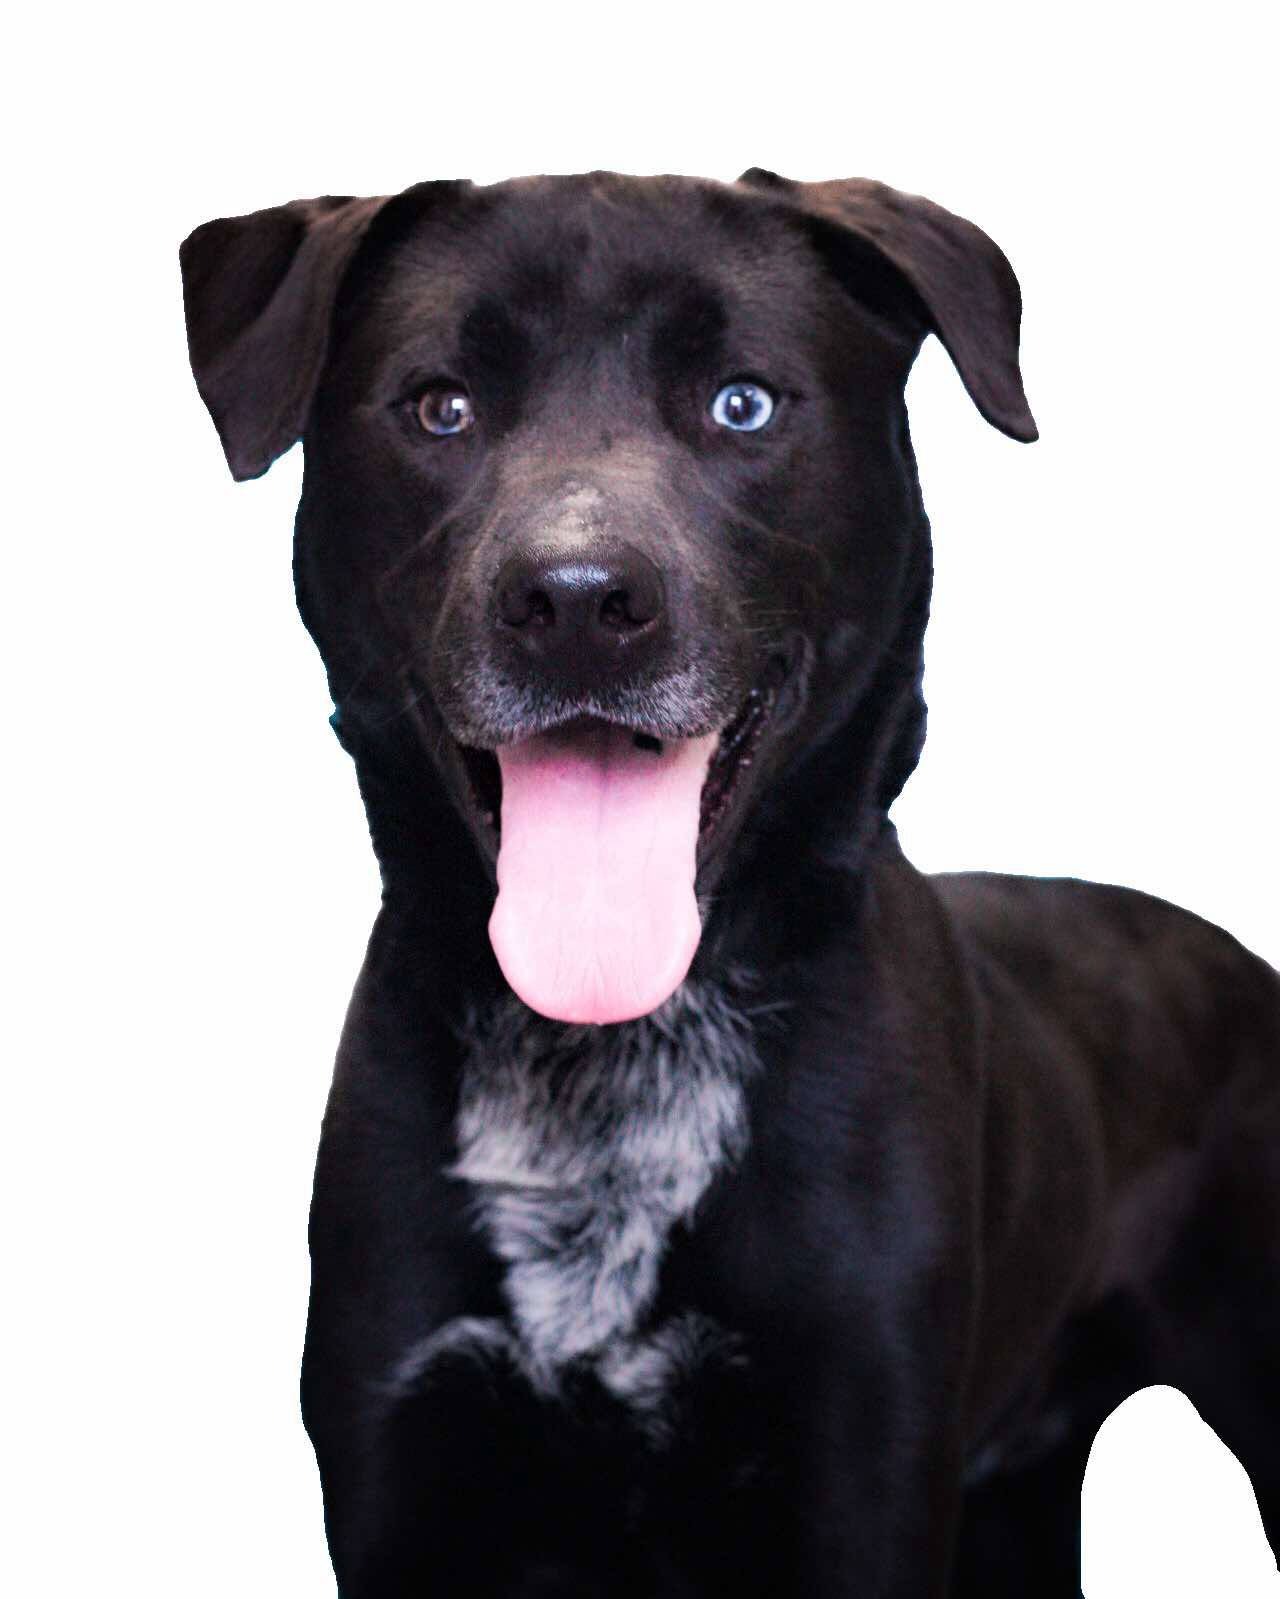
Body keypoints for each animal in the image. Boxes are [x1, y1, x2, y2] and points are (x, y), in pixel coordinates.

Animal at [180, 169, 1280, 1597]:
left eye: (740, 403)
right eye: (440, 408)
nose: (577, 600)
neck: (604, 1071)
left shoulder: (862, 1470)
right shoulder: (398, 1473)